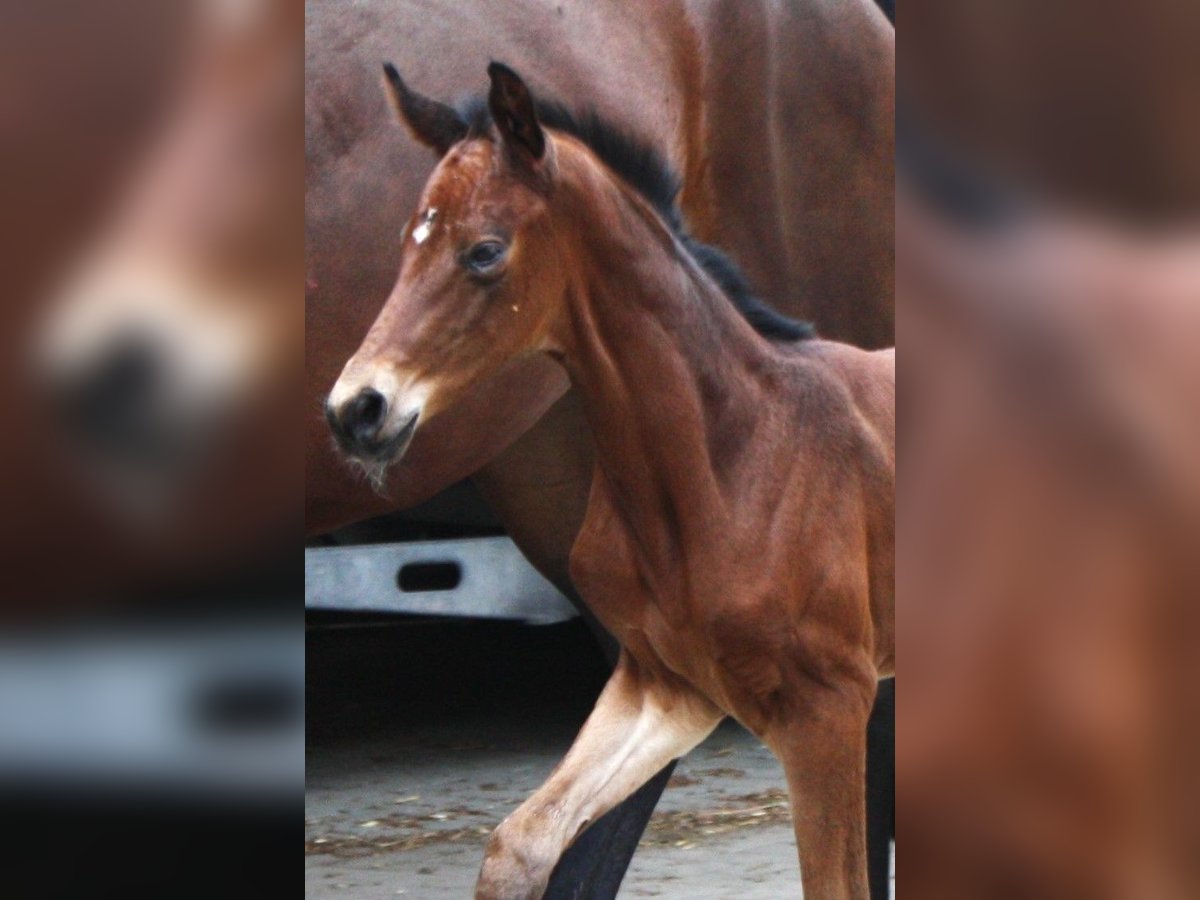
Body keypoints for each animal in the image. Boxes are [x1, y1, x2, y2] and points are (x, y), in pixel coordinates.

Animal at [326, 65, 892, 900]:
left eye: (485, 251)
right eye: (407, 241)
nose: (356, 410)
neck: (728, 456)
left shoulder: (828, 707)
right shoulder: (665, 687)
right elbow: (520, 844)